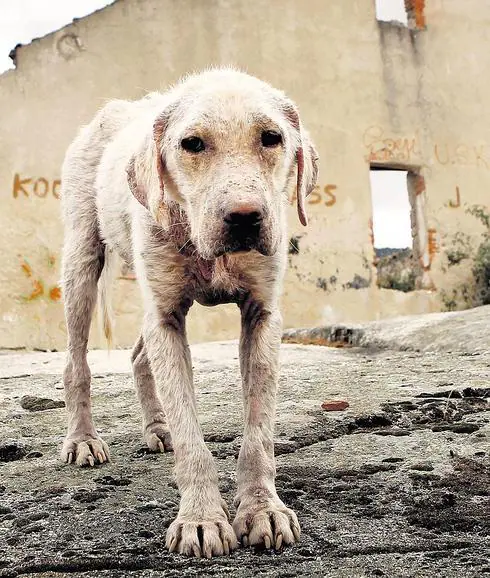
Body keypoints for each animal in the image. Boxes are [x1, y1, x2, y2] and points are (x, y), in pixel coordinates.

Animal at [59, 65, 320, 556]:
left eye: (271, 138)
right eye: (192, 144)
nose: (244, 217)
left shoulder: (262, 315)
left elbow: (258, 434)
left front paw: (262, 509)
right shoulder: (166, 317)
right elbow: (191, 436)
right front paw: (201, 519)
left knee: (138, 356)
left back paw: (156, 427)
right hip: (81, 261)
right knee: (75, 362)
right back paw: (83, 439)